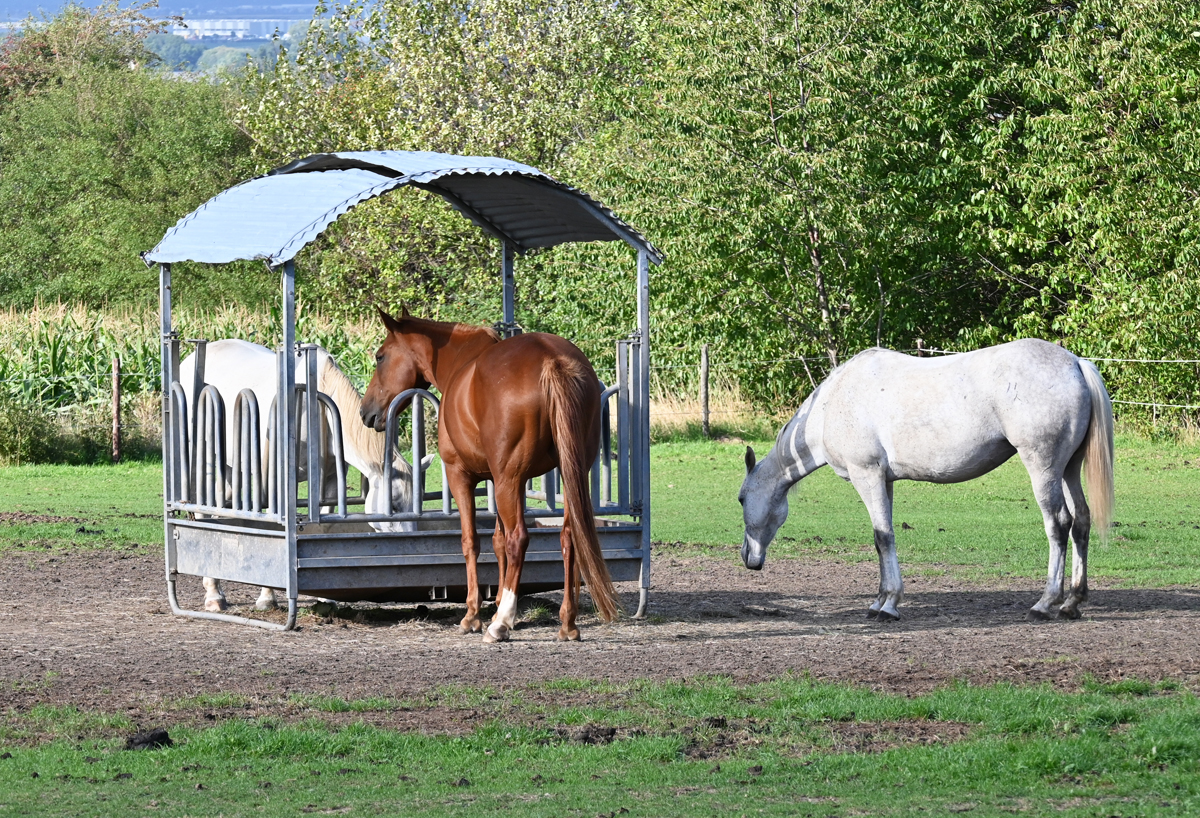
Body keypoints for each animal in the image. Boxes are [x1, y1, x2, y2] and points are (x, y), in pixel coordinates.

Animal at [175, 338, 424, 611]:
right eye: (394, 504)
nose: (411, 552)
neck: (316, 405)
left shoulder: (330, 482)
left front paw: (326, 598)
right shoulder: (279, 480)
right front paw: (267, 597)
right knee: (204, 512)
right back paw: (214, 594)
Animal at [357, 309, 619, 638]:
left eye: (380, 357)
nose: (365, 412)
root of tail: (551, 360)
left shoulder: (462, 476)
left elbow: (472, 541)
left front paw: (474, 615)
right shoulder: (503, 481)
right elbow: (498, 540)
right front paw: (496, 604)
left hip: (510, 480)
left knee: (519, 538)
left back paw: (501, 624)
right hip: (569, 473)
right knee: (569, 536)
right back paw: (567, 622)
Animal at [739, 335, 1113, 618]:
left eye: (741, 499)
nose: (747, 558)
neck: (832, 405)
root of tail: (1075, 363)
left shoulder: (867, 476)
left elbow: (883, 537)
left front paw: (889, 605)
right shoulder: (884, 481)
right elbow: (882, 538)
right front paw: (879, 600)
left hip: (1043, 468)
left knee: (1059, 524)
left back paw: (1045, 603)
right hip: (1068, 469)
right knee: (1081, 522)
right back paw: (1072, 603)